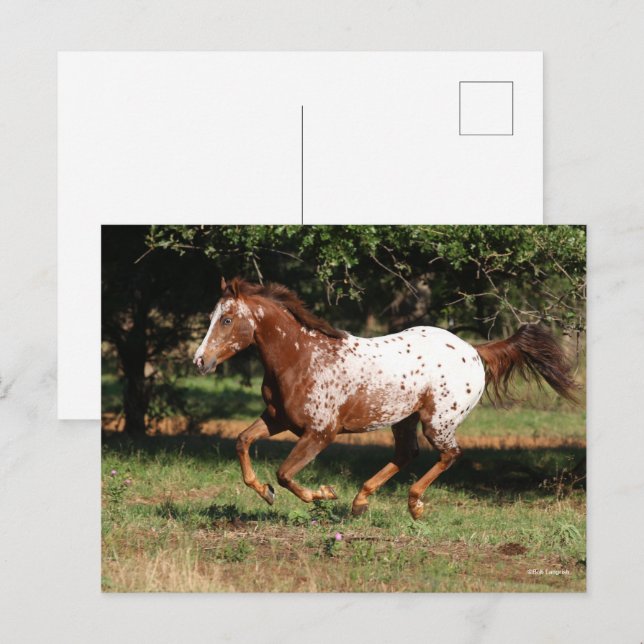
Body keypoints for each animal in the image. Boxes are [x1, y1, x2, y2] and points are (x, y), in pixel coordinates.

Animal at [193, 277, 578, 519]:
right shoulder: (277, 419)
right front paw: (265, 492)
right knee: (407, 453)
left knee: (449, 454)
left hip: (438, 422)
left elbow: (285, 473)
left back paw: (414, 506)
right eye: (212, 316)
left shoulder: (320, 433)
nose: (200, 361)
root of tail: (474, 351)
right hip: (404, 419)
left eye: (227, 319)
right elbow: (242, 442)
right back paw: (360, 502)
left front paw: (324, 495)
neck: (301, 357)